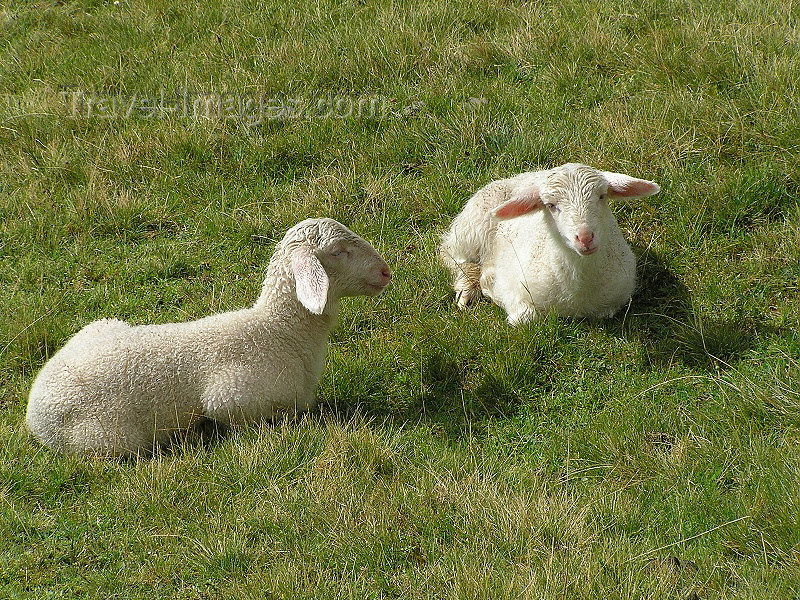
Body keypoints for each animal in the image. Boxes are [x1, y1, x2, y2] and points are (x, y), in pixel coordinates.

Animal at [28, 218, 394, 458]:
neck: (279, 332)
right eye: (338, 251)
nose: (386, 271)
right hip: (107, 439)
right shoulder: (231, 395)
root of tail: (34, 408)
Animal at [440, 162, 660, 326]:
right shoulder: (511, 288)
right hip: (471, 227)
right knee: (451, 255)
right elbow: (525, 317)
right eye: (551, 206)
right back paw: (467, 289)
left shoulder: (615, 300)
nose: (585, 237)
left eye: (602, 196)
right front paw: (487, 283)